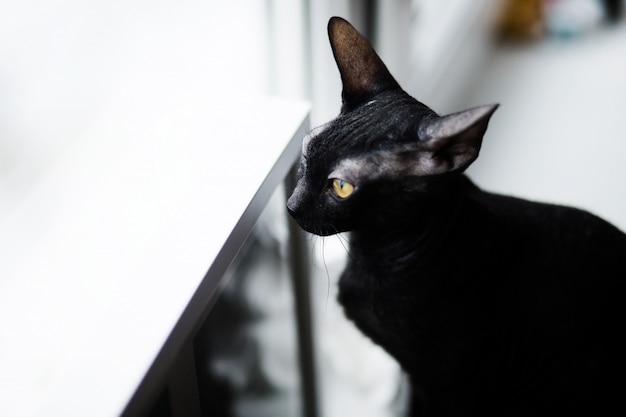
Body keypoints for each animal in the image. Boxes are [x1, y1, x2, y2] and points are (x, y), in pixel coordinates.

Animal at [286, 17, 624, 416]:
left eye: (341, 187)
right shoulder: (419, 382)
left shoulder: (454, 387)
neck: (373, 255)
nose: (291, 206)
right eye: (307, 149)